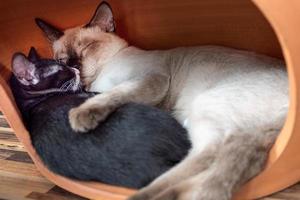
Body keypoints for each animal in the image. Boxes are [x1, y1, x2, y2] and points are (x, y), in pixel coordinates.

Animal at [36, 1, 290, 200]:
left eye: (87, 47)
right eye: (61, 59)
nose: (73, 64)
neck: (97, 80)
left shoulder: (151, 80)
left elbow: (114, 93)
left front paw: (80, 115)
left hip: (205, 105)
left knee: (210, 153)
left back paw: (147, 196)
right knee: (226, 162)